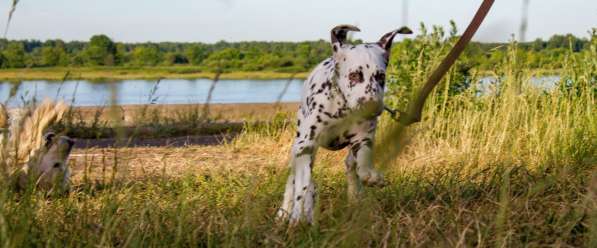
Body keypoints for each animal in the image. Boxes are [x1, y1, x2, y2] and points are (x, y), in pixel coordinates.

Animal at [278, 24, 410, 223]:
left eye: (381, 77)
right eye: (354, 75)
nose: (372, 107)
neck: (342, 108)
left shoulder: (363, 139)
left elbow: (363, 163)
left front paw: (370, 177)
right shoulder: (305, 146)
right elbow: (302, 186)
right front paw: (298, 214)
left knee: (350, 166)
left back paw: (355, 195)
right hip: (299, 148)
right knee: (293, 181)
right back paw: (285, 212)